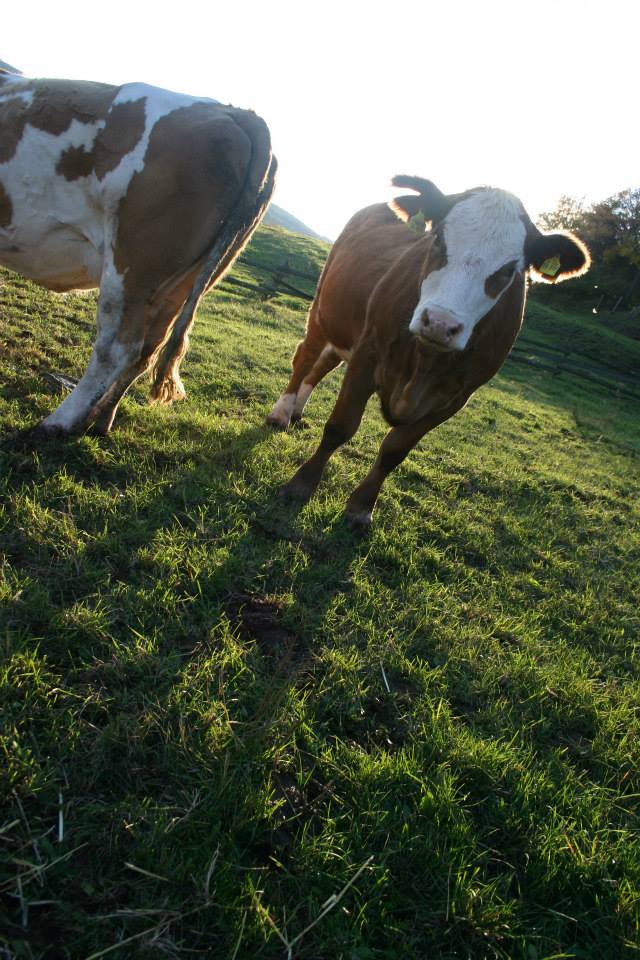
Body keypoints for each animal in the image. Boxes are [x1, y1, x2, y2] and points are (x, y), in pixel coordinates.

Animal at [0, 69, 276, 436]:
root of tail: (238, 113)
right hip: (184, 281)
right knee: (148, 349)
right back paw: (100, 418)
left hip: (131, 266)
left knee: (117, 348)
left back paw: (58, 422)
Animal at [270, 176, 592, 528]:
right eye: (437, 240)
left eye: (509, 271)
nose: (440, 323)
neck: (424, 364)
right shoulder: (369, 353)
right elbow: (341, 426)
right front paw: (301, 485)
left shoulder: (455, 397)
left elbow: (394, 451)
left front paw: (361, 508)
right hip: (323, 308)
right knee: (306, 356)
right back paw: (282, 412)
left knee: (325, 362)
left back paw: (298, 409)